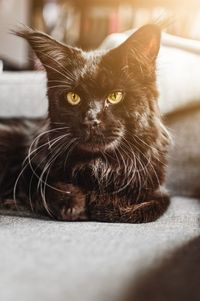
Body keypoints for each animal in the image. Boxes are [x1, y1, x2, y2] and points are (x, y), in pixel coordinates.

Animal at [0, 24, 170, 221]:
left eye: (115, 96)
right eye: (73, 97)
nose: (91, 120)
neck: (100, 165)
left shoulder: (159, 191)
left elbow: (142, 209)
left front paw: (102, 203)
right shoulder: (29, 166)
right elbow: (46, 186)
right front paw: (74, 204)